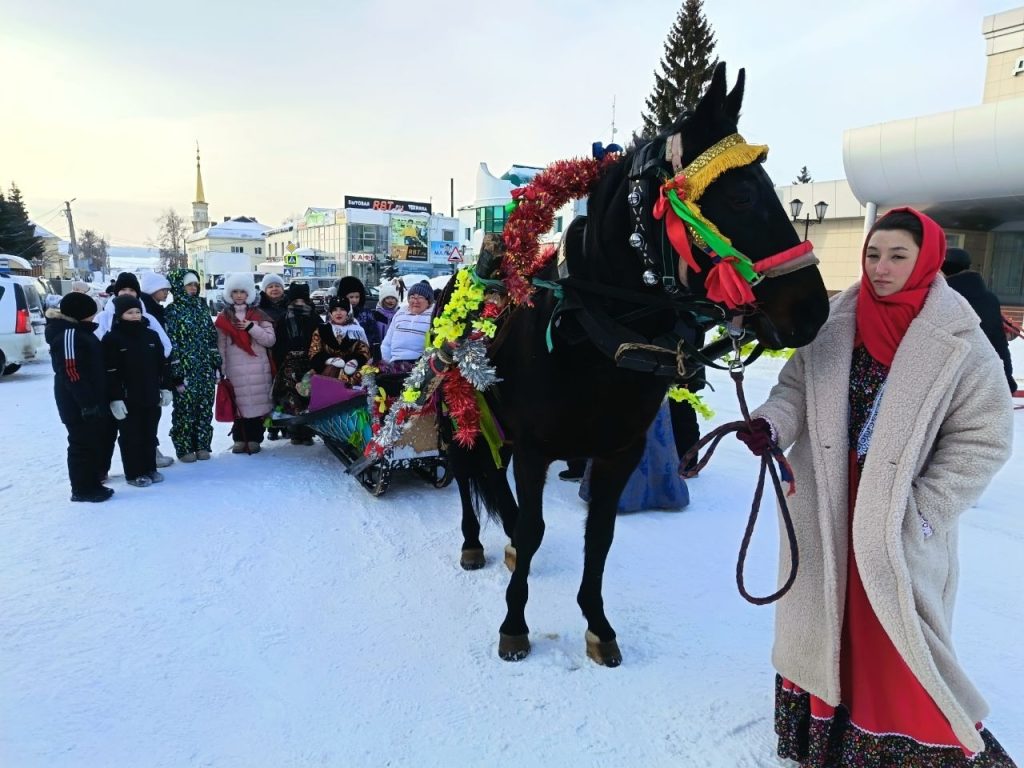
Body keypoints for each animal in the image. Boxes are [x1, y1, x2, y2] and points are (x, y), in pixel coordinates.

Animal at [442, 63, 830, 666]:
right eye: (742, 196)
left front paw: (598, 624)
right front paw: (514, 622)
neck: (588, 335)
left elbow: (598, 535)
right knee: (465, 472)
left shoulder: (617, 452)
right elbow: (533, 529)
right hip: (458, 412)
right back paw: (473, 540)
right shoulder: (535, 449)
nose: (814, 309)